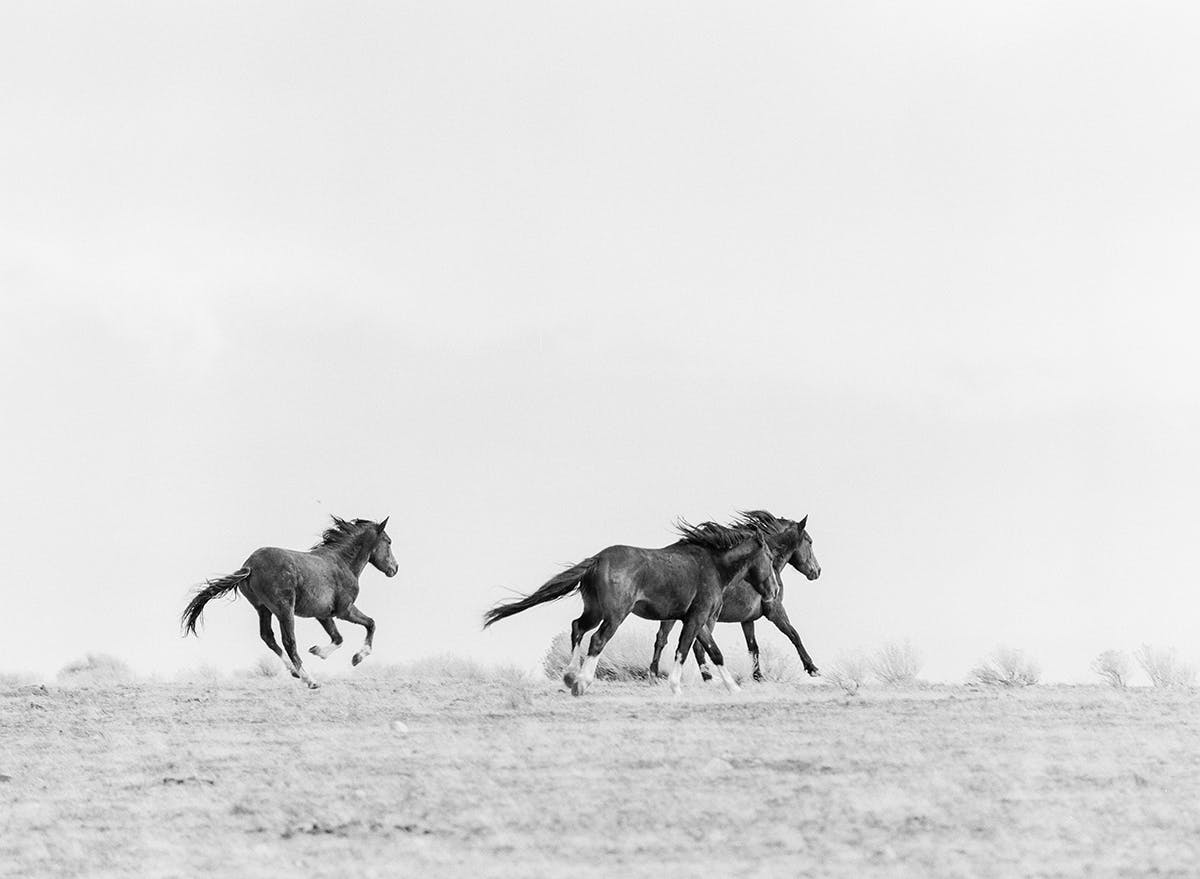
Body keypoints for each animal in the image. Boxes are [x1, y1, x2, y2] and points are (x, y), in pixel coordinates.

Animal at [180, 513, 398, 686]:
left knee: (268, 637)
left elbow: (338, 638)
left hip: (263, 609)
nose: (394, 568)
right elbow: (371, 624)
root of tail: (249, 567)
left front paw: (318, 651)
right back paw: (309, 679)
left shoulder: (323, 614)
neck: (342, 562)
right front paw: (357, 657)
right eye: (388, 541)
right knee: (289, 641)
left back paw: (294, 672)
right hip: (284, 610)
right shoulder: (344, 610)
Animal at [482, 518, 782, 696]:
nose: (774, 591)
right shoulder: (697, 617)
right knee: (597, 639)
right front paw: (675, 687)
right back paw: (581, 682)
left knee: (577, 627)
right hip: (615, 615)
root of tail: (597, 559)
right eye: (769, 557)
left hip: (595, 611)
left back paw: (569, 676)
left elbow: (713, 652)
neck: (713, 566)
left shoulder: (697, 619)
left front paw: (732, 688)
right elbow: (684, 649)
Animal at [648, 509, 825, 686]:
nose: (817, 571)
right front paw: (812, 668)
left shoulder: (747, 620)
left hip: (674, 616)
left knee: (662, 640)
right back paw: (709, 679)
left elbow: (753, 648)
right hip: (707, 618)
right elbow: (794, 635)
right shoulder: (774, 611)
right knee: (697, 646)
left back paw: (654, 674)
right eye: (810, 542)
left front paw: (758, 677)